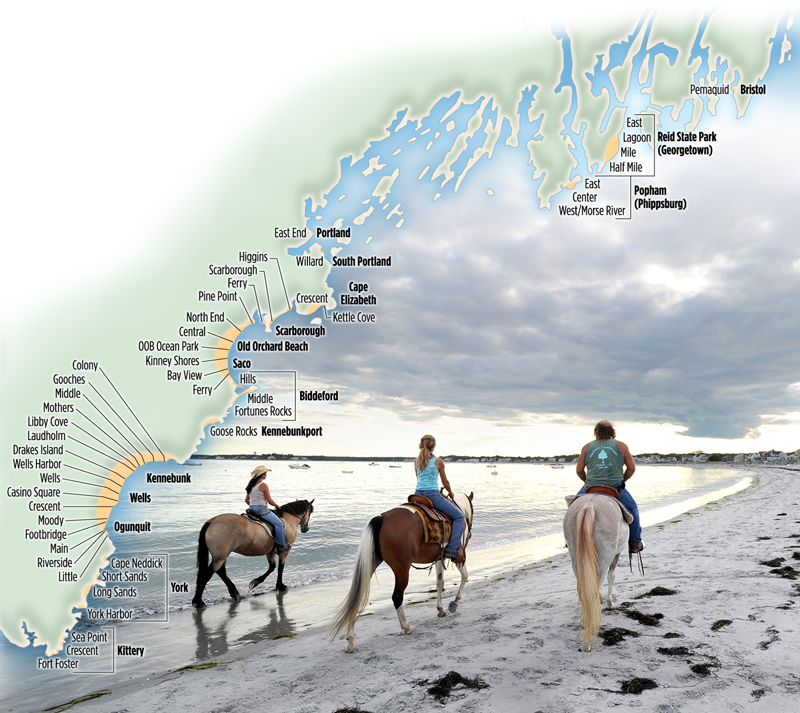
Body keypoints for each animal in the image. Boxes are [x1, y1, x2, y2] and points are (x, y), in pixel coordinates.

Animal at [564, 490, 632, 652]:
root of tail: (589, 506)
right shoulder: (616, 554)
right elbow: (611, 576)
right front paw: (609, 603)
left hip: (576, 557)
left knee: (584, 590)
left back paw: (585, 621)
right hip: (605, 556)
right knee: (595, 590)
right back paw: (587, 642)